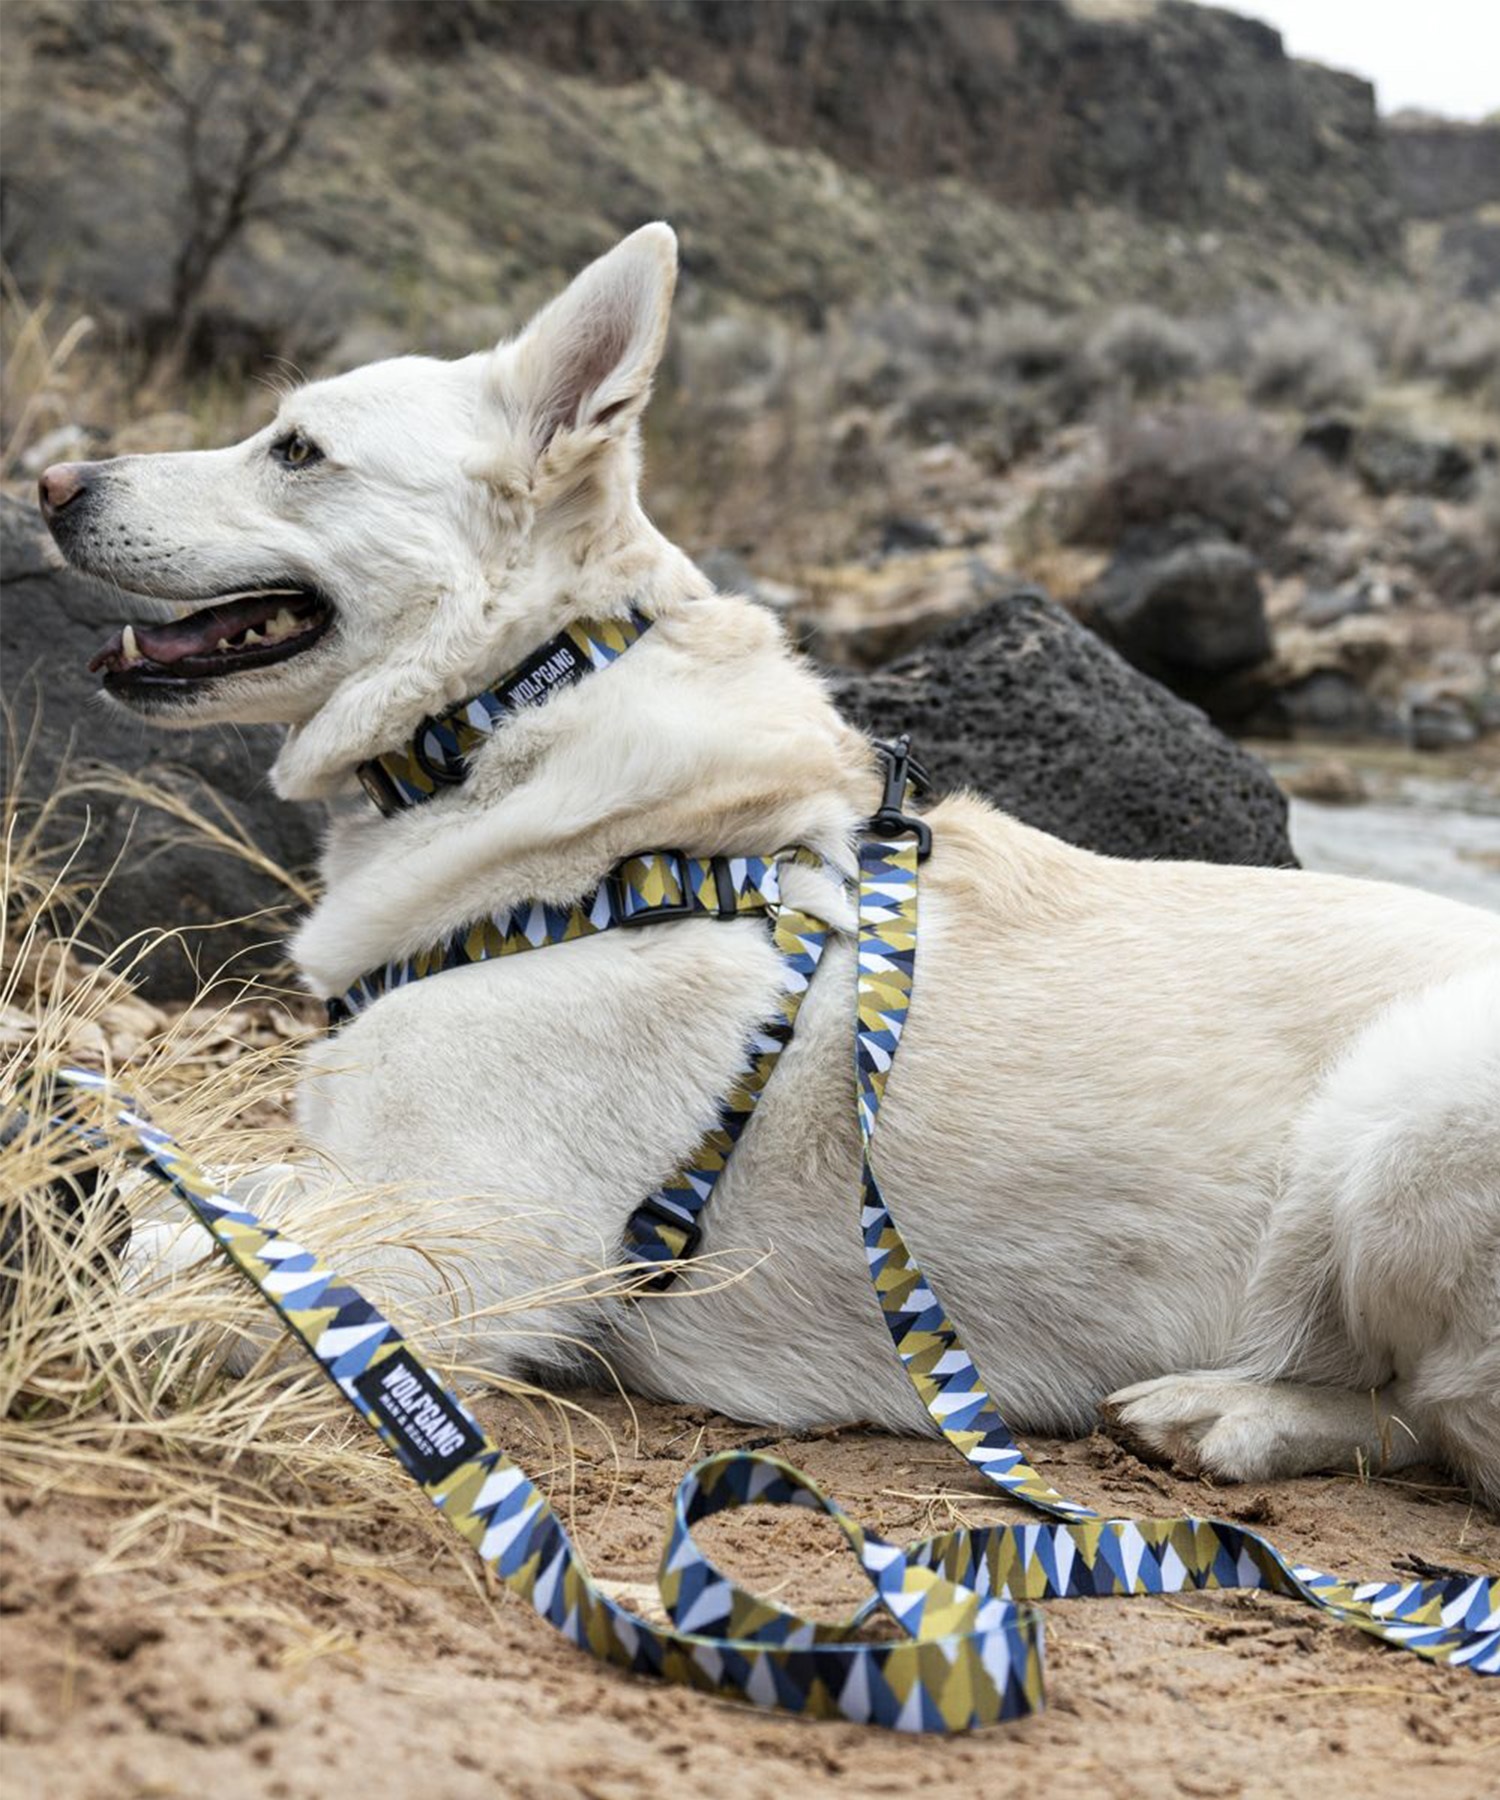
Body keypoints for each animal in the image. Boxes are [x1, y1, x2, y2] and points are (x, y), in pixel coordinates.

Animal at [38, 232, 1498, 1512]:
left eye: (297, 449)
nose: (52, 484)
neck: (518, 725)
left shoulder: (441, 1253)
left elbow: (160, 1261)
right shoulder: (352, 1176)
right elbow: (180, 1200)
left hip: (1411, 1118)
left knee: (1442, 1424)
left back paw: (1230, 1411)